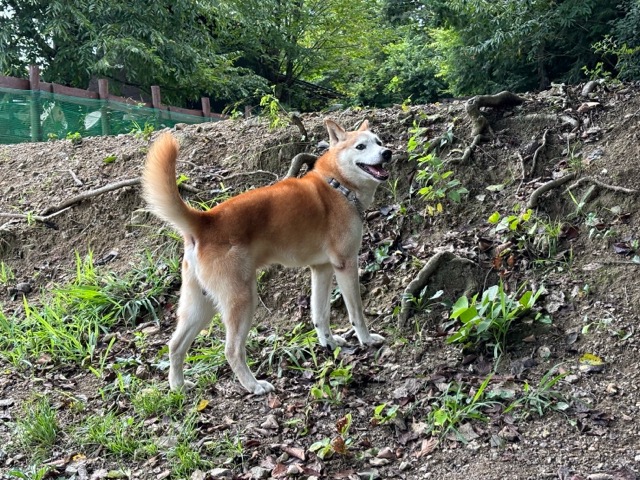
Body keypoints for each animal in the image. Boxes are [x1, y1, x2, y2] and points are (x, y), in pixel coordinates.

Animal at [142, 119, 392, 394]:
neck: (338, 185)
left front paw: (328, 343)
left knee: (175, 345)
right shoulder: (346, 264)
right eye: (361, 146)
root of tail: (205, 220)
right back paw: (254, 385)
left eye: (379, 142)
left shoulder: (322, 269)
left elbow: (320, 314)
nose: (387, 153)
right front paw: (366, 340)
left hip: (200, 304)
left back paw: (178, 386)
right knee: (232, 350)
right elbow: (357, 312)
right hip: (242, 300)